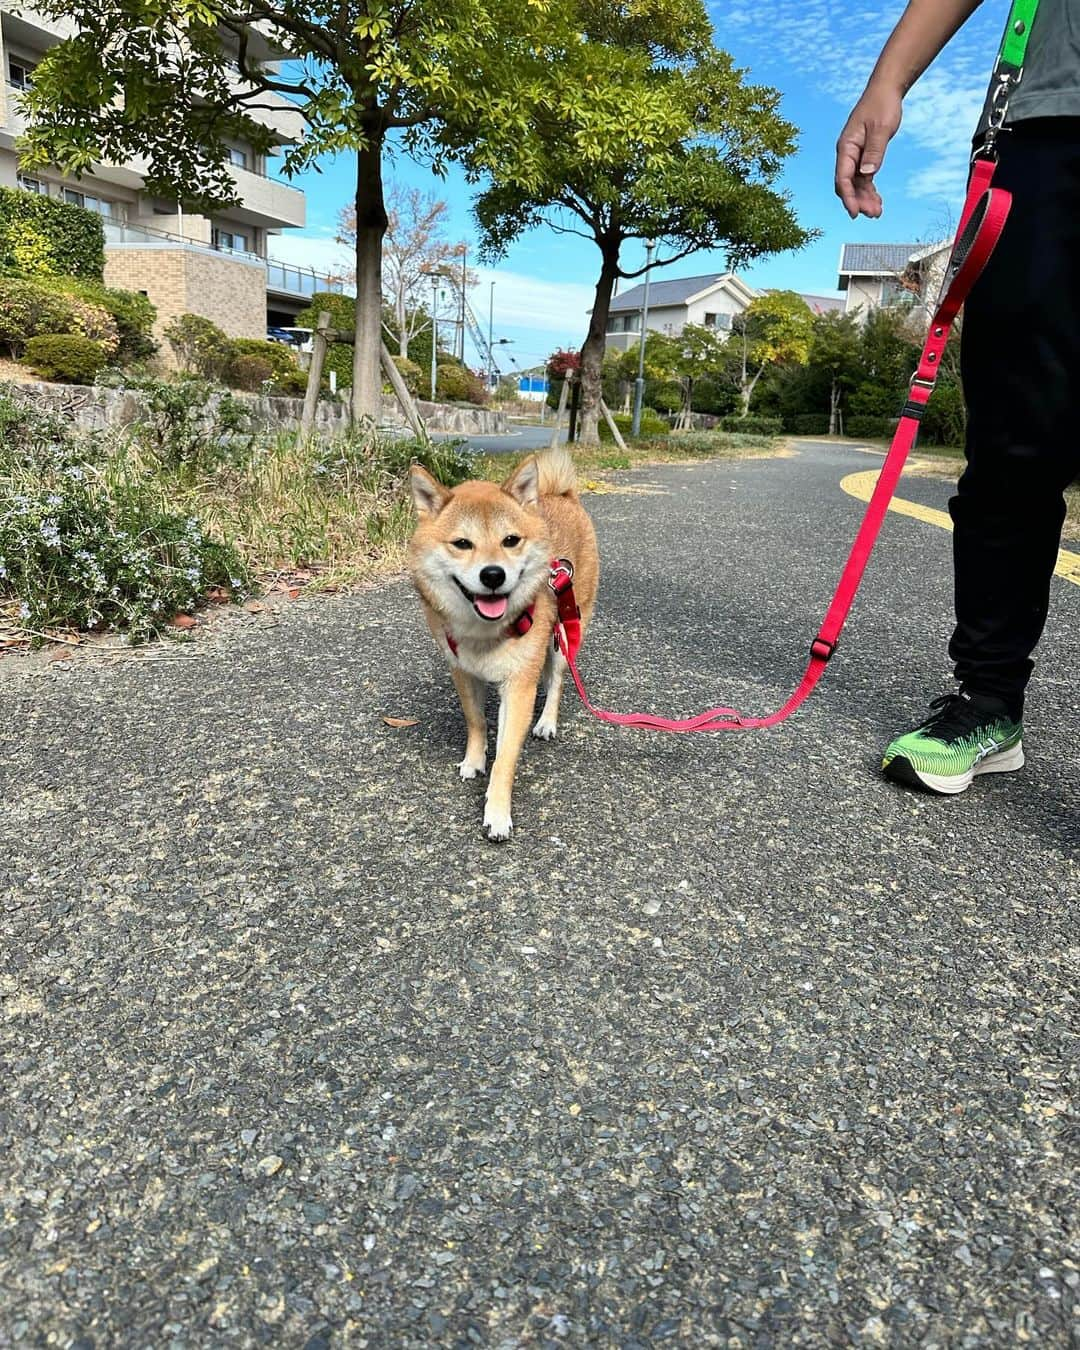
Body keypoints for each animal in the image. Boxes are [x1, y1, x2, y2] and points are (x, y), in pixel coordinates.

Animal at [410, 448, 599, 837]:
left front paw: (497, 812)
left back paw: (546, 723)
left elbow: (506, 757)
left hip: (566, 633)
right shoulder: (462, 672)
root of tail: (561, 495)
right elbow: (476, 721)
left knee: (557, 681)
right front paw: (474, 759)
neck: (484, 632)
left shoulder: (518, 686)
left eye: (510, 540)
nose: (493, 574)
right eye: (462, 543)